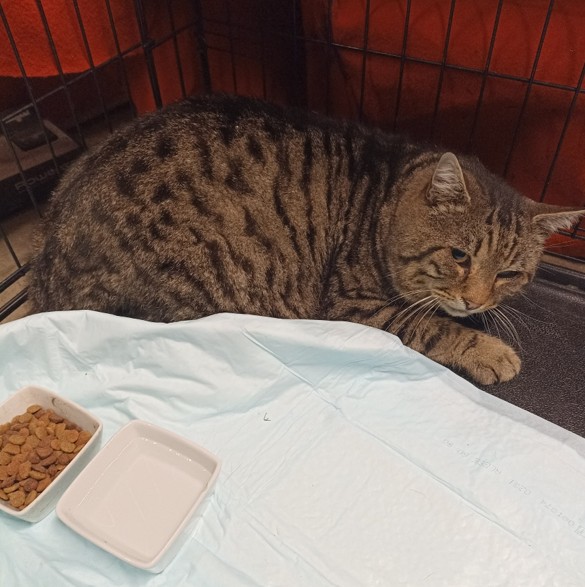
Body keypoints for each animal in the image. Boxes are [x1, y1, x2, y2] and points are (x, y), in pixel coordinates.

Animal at [28, 94, 584, 385]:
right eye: (458, 255)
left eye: (508, 273)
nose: (476, 300)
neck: (383, 202)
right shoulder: (356, 306)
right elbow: (434, 327)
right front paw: (490, 350)